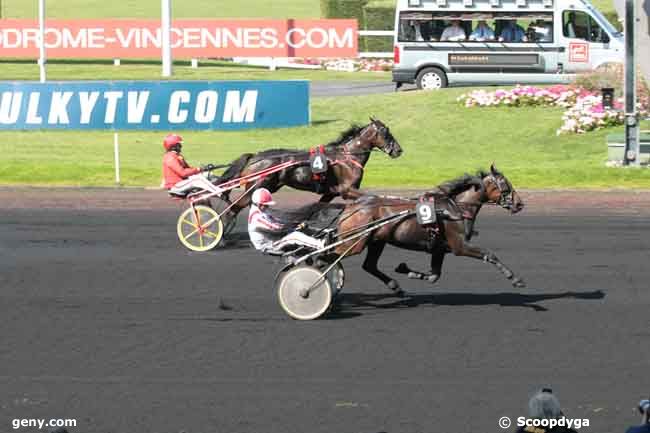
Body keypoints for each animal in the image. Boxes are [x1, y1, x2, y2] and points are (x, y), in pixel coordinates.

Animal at [332, 165, 524, 294]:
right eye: (505, 183)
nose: (519, 204)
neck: (454, 209)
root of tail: (351, 208)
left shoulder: (439, 249)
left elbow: (434, 276)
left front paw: (405, 270)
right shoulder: (459, 246)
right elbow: (489, 254)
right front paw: (515, 279)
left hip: (377, 241)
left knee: (369, 265)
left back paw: (395, 286)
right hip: (354, 242)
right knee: (331, 256)